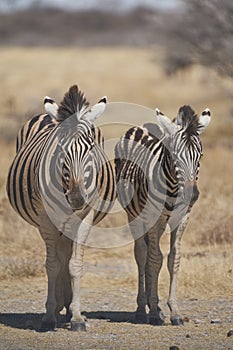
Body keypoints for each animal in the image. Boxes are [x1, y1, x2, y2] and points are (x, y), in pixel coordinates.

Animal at [6, 85, 116, 330]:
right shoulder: (46, 219)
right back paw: (58, 306)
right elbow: (53, 265)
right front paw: (49, 315)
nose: (76, 199)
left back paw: (66, 306)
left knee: (66, 251)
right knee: (59, 254)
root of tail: (50, 114)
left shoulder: (86, 217)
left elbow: (74, 264)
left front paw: (76, 316)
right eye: (59, 148)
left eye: (91, 147)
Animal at [114, 106, 211, 326]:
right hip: (135, 215)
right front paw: (152, 310)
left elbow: (174, 259)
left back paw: (154, 307)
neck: (174, 189)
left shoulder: (182, 218)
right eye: (174, 156)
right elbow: (155, 258)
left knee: (149, 254)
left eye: (200, 155)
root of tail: (144, 126)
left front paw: (173, 311)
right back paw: (142, 308)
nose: (192, 195)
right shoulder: (153, 218)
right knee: (142, 254)